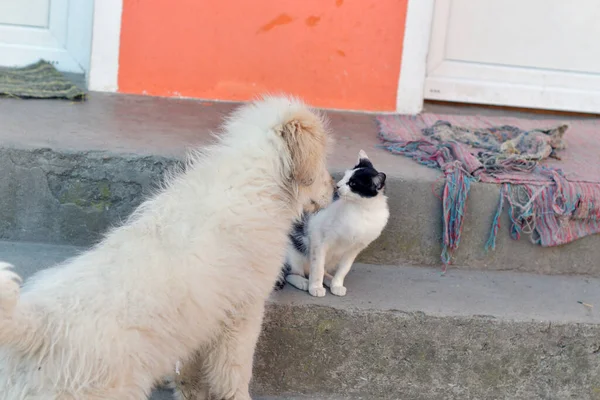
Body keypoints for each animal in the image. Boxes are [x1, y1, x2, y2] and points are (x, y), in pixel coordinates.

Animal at [0, 95, 332, 398]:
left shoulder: (203, 321)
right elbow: (235, 371)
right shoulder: (243, 312)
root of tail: (35, 326)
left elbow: (190, 369)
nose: (335, 190)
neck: (252, 182)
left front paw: (188, 391)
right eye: (324, 159)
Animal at [276, 150, 390, 296]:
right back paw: (303, 281)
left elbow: (344, 269)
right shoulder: (319, 238)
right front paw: (316, 287)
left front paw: (337, 284)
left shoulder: (355, 249)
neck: (360, 209)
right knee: (291, 272)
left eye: (353, 183)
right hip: (292, 254)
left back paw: (328, 279)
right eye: (344, 177)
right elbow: (317, 267)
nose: (337, 186)